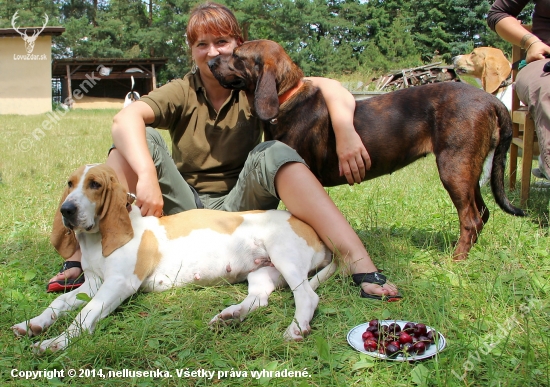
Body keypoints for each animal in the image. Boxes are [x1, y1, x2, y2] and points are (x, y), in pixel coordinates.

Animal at [207, 38, 528, 260]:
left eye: (236, 56)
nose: (209, 64)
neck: (287, 99)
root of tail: (491, 100)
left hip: (454, 167)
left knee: (471, 219)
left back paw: (457, 259)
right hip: (470, 170)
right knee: (482, 213)